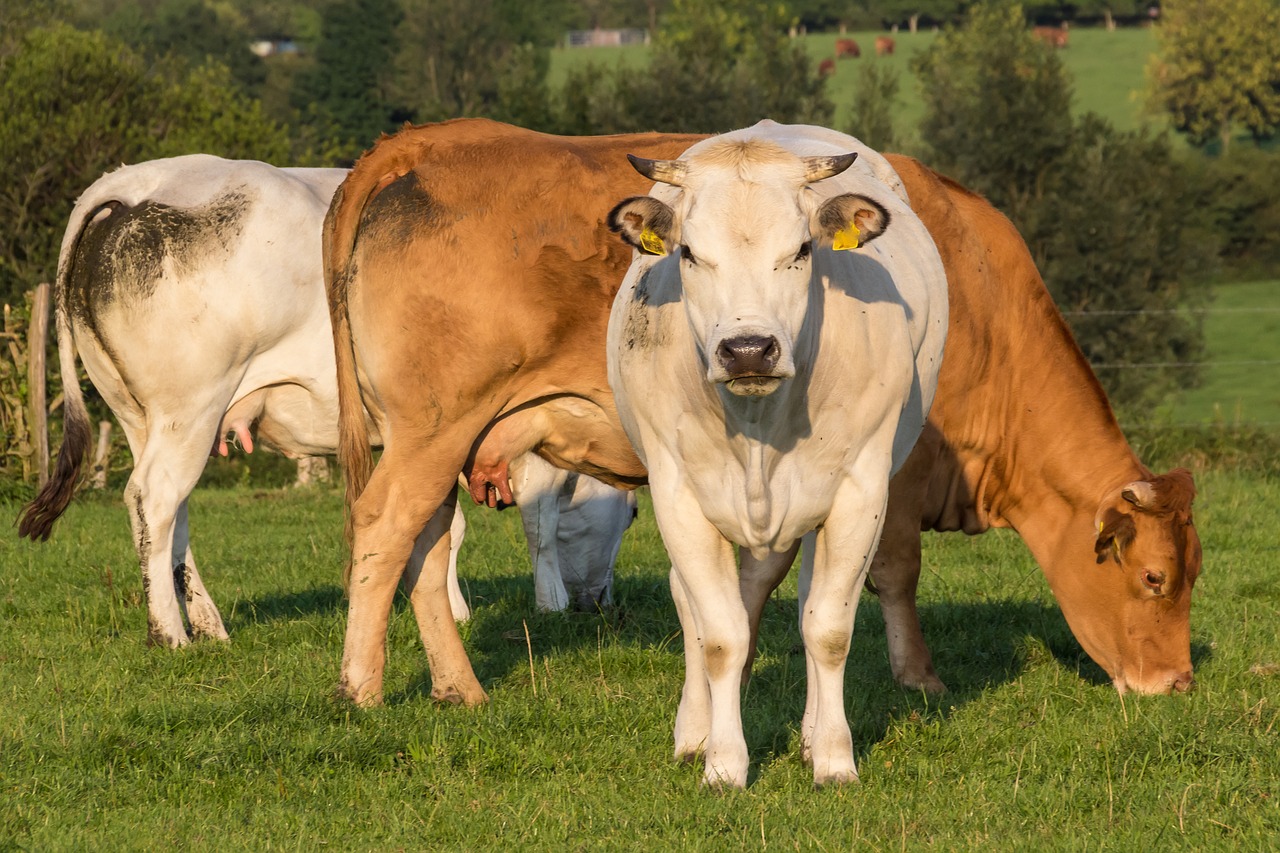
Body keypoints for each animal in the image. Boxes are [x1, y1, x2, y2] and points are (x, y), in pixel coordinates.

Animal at [17, 154, 637, 645]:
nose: (603, 604)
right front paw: (548, 602)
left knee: (169, 515)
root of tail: (135, 181)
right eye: (631, 515)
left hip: (141, 415)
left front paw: (449, 609)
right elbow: (540, 517)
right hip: (187, 407)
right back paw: (170, 633)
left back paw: (208, 623)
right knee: (155, 498)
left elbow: (444, 525)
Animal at [325, 117, 706, 701]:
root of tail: (427, 140)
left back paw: (459, 689)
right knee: (383, 525)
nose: (600, 606)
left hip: (429, 437)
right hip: (435, 423)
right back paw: (361, 690)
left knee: (426, 543)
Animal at [606, 119, 952, 783]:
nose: (747, 350)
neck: (758, 426)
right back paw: (694, 731)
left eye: (801, 250)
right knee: (695, 607)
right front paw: (722, 763)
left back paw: (813, 735)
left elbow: (829, 630)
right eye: (689, 253)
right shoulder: (677, 496)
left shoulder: (860, 493)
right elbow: (720, 636)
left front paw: (835, 759)